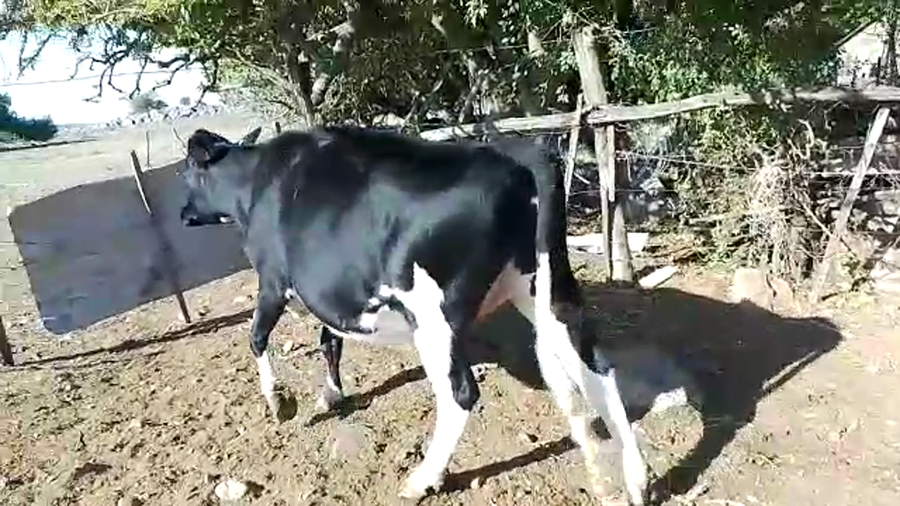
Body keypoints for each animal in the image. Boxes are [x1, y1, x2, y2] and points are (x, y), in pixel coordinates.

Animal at [177, 125, 649, 504]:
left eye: (187, 172)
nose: (182, 213)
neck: (254, 184)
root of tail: (515, 153)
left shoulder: (273, 281)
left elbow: (257, 336)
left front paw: (280, 402)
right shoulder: (331, 294)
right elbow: (330, 339)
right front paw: (332, 393)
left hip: (434, 318)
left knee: (461, 394)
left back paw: (423, 478)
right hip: (545, 290)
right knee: (596, 368)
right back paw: (637, 478)